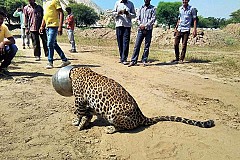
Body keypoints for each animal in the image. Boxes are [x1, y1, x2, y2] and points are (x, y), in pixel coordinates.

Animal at [68, 67, 215, 134]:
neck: (76, 70)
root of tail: (141, 115)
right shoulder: (87, 103)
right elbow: (87, 114)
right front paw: (84, 122)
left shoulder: (79, 99)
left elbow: (79, 112)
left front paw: (77, 122)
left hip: (114, 113)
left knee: (125, 127)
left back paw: (111, 128)